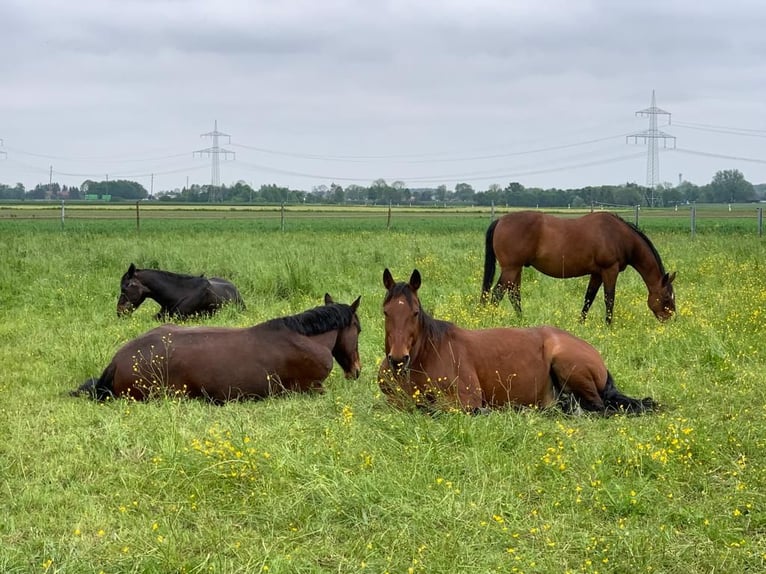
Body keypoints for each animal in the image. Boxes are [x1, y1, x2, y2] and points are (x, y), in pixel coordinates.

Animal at [378, 268, 656, 415]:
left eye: (415, 313)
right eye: (386, 312)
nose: (398, 359)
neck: (428, 354)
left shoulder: (466, 400)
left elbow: (434, 409)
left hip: (568, 364)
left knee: (596, 407)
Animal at [481, 211, 676, 324]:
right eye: (667, 297)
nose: (671, 319)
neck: (618, 235)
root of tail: (500, 220)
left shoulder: (597, 274)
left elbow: (589, 298)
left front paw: (581, 322)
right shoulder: (609, 271)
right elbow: (609, 299)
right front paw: (608, 325)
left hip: (517, 269)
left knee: (514, 294)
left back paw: (522, 321)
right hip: (511, 268)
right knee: (497, 294)